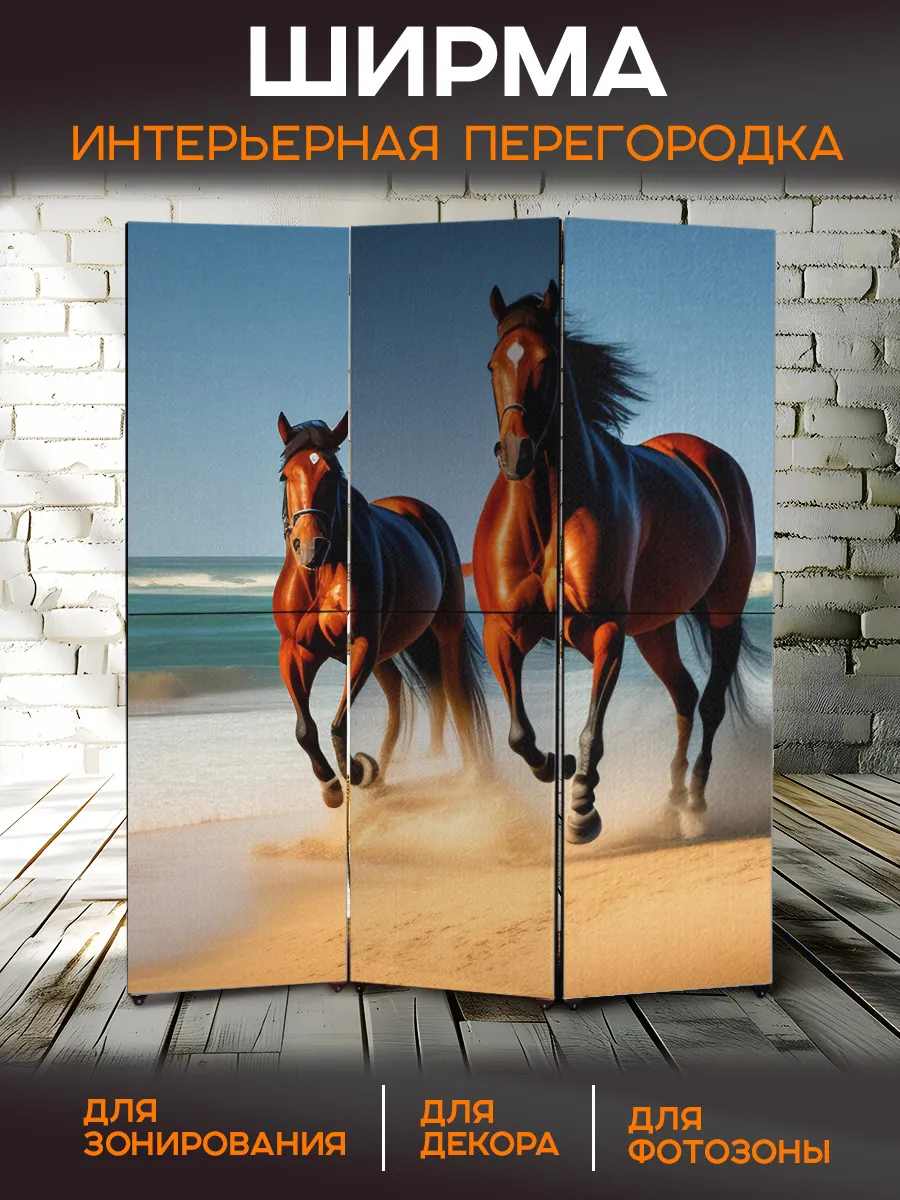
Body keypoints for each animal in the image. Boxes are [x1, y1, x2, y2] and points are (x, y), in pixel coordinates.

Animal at [273, 411, 491, 807]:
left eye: (332, 473)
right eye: (286, 476)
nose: (310, 547)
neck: (322, 574)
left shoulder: (361, 643)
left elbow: (338, 725)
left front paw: (356, 771)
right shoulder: (295, 652)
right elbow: (305, 730)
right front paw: (333, 786)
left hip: (441, 634)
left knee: (456, 694)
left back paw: (471, 775)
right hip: (382, 657)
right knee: (398, 701)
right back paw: (381, 777)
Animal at [472, 281, 759, 845]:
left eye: (548, 362)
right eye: (493, 363)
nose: (516, 453)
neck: (549, 516)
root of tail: (708, 457)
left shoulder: (604, 628)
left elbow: (591, 730)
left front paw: (583, 807)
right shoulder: (503, 632)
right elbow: (520, 734)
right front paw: (555, 765)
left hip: (724, 612)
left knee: (710, 703)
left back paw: (694, 803)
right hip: (656, 628)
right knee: (685, 696)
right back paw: (670, 805)